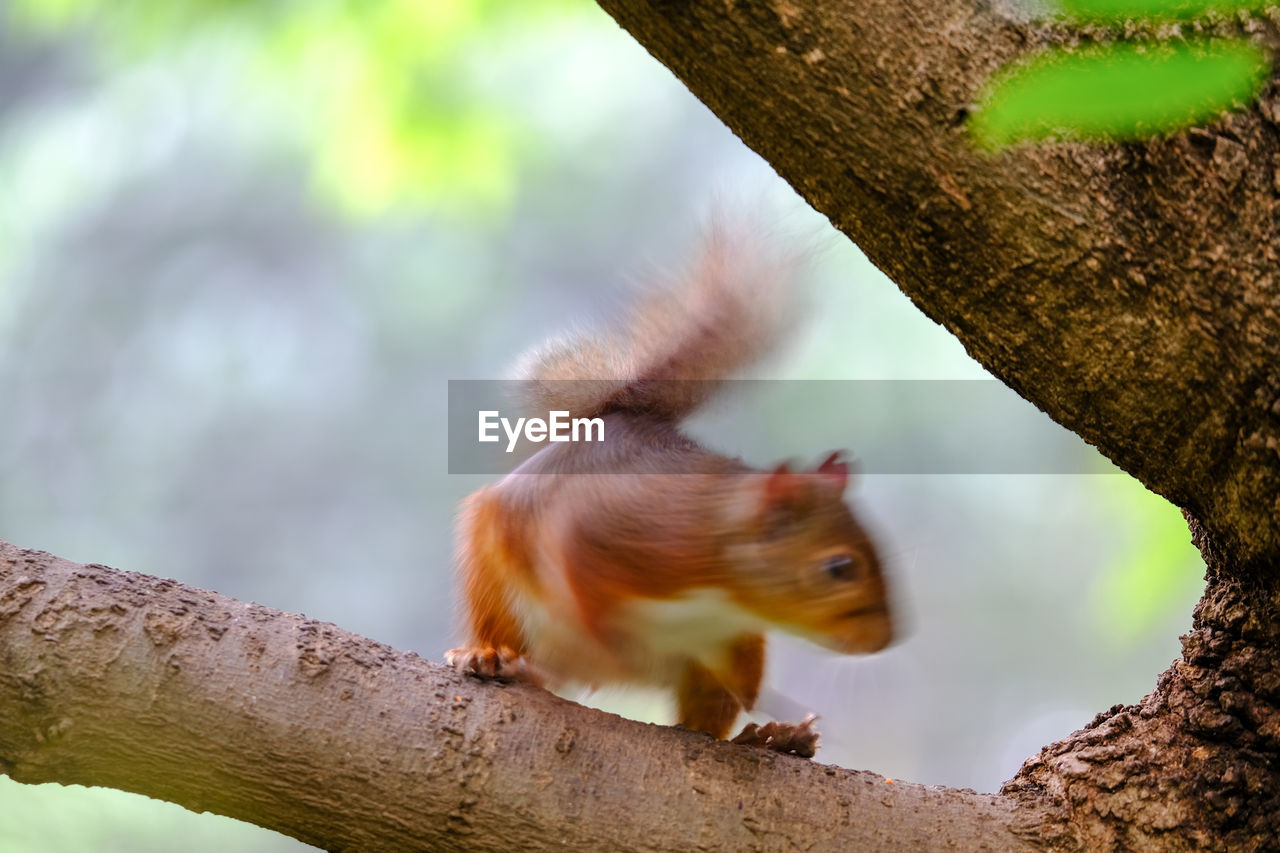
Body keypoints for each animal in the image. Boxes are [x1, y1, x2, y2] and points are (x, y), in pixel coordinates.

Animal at [448, 220, 890, 758]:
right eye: (839, 568)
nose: (887, 638)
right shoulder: (620, 533)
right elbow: (578, 573)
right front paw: (601, 643)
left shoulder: (733, 635)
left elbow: (744, 686)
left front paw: (776, 718)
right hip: (496, 579)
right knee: (513, 633)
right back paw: (492, 657)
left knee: (703, 722)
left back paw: (774, 738)